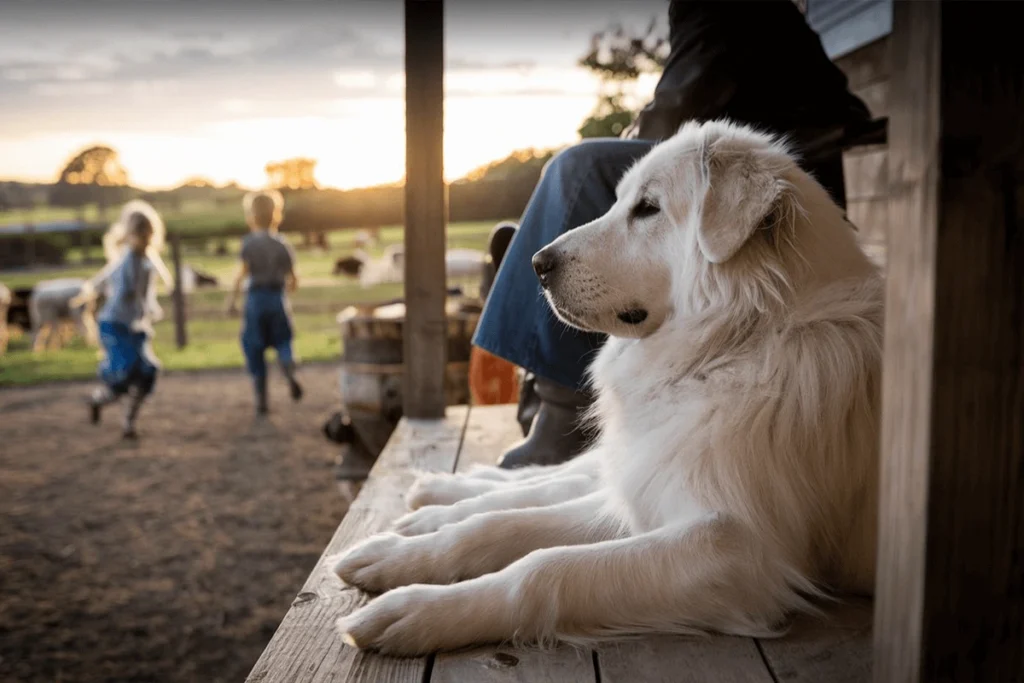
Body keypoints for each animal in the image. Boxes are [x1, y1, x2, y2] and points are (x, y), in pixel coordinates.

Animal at [331, 121, 884, 655]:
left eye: (647, 208)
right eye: (619, 202)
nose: (537, 264)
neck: (738, 339)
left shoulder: (735, 549)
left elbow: (545, 567)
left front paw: (419, 610)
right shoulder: (651, 490)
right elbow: (504, 526)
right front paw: (405, 558)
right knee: (547, 480)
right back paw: (435, 501)